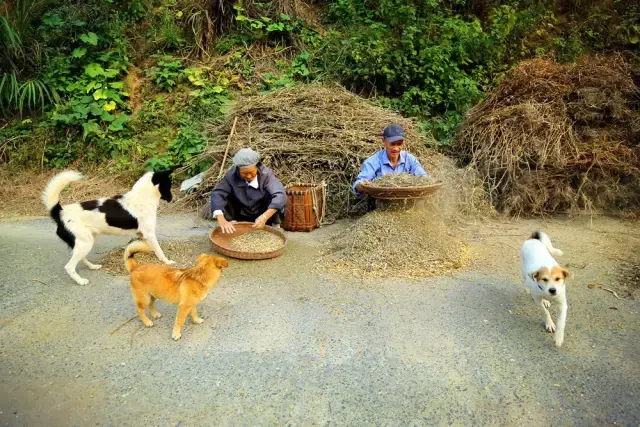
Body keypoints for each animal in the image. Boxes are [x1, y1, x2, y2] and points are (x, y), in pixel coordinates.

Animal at [43, 169, 175, 286]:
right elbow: (159, 250)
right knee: (69, 267)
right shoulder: (149, 234)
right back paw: (80, 281)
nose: (173, 200)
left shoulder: (143, 235)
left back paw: (92, 266)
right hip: (85, 243)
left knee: (81, 258)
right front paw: (167, 262)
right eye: (169, 184)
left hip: (85, 242)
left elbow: (150, 248)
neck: (141, 198)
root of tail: (60, 213)